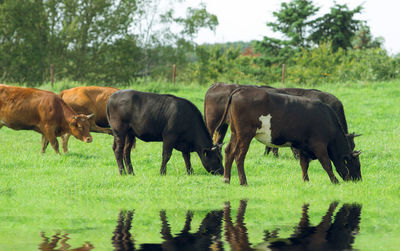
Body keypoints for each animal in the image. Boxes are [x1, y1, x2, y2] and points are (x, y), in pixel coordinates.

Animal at [217, 87, 360, 185]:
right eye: (355, 165)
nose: (359, 180)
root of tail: (242, 89)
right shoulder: (319, 145)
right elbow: (327, 163)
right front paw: (335, 181)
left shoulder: (302, 146)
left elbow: (304, 164)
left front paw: (306, 181)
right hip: (245, 135)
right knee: (239, 156)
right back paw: (243, 182)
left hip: (235, 133)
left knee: (229, 151)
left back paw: (226, 179)